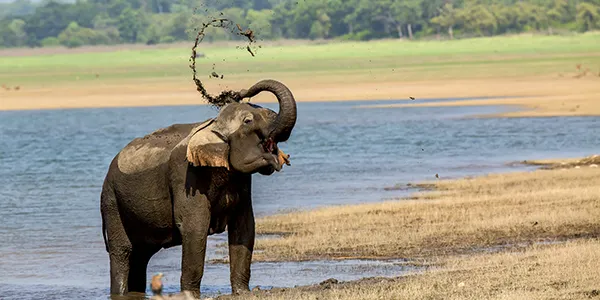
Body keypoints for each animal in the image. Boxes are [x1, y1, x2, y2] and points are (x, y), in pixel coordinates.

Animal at [100, 79, 298, 298]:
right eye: (247, 121)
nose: (240, 92)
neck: (212, 125)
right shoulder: (186, 174)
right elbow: (194, 226)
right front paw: (191, 295)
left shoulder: (241, 180)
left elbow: (245, 224)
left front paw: (242, 292)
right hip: (111, 201)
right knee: (123, 251)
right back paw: (120, 292)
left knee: (141, 255)